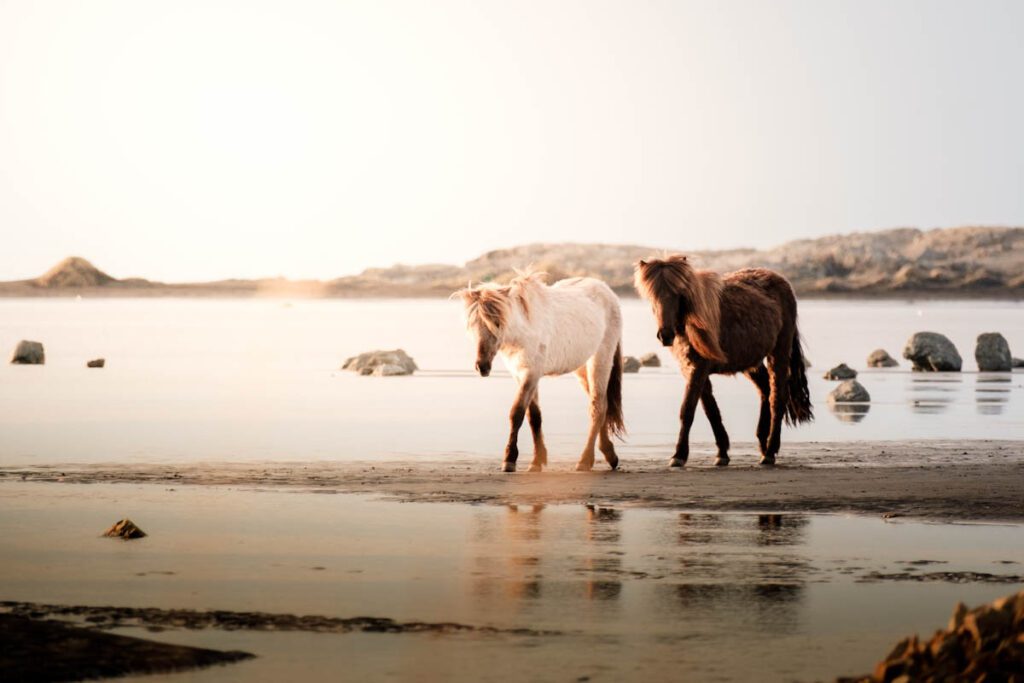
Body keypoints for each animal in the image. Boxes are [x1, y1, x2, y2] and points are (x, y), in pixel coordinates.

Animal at [456, 270, 622, 473]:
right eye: (472, 325)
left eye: (496, 322)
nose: (482, 366)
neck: (523, 332)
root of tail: (607, 290)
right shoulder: (521, 376)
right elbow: (534, 417)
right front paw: (537, 461)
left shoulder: (531, 374)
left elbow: (517, 413)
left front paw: (509, 459)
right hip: (582, 368)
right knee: (601, 403)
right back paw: (610, 455)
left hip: (600, 359)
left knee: (598, 406)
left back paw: (585, 460)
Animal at [634, 253, 811, 466]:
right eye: (653, 296)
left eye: (678, 294)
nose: (665, 335)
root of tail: (782, 281)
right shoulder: (692, 370)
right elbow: (710, 410)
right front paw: (722, 452)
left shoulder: (699, 369)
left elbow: (687, 410)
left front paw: (679, 455)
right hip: (751, 362)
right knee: (765, 390)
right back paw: (763, 443)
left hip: (779, 352)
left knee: (777, 396)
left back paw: (769, 451)